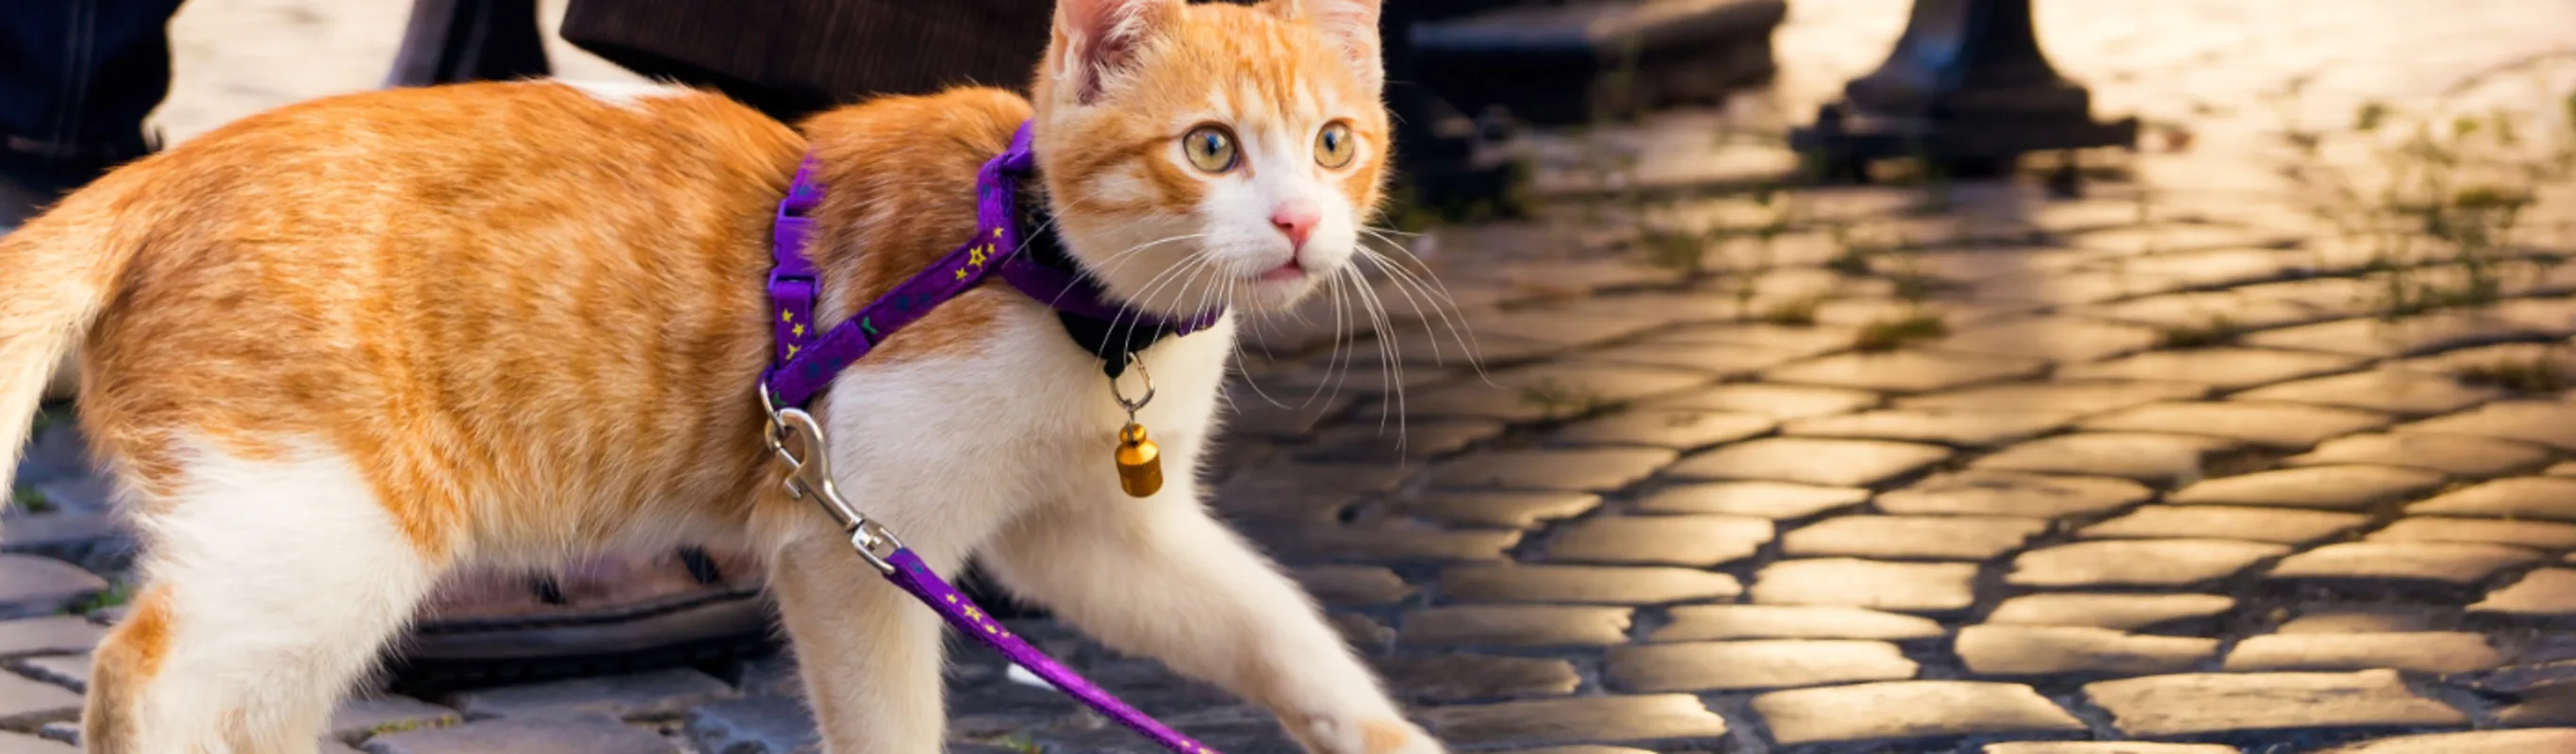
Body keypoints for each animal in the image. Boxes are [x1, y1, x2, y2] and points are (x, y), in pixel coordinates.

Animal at [0, 1, 1452, 751]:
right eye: (1209, 149)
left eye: (1336, 143)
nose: (1298, 225)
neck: (1076, 303)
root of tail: (163, 171)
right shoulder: (852, 540)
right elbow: (890, 724)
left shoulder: (1090, 534)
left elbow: (1273, 628)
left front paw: (1382, 735)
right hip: (323, 523)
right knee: (144, 676)